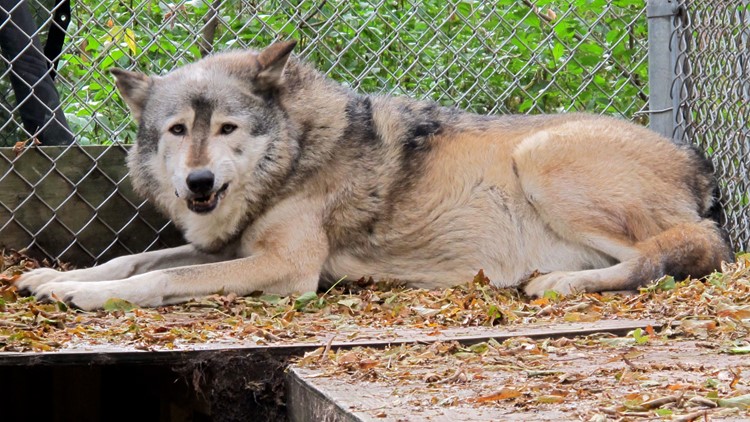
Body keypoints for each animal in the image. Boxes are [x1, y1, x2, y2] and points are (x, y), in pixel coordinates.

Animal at [16, 40, 733, 310]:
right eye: (176, 131)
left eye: (226, 129)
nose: (197, 184)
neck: (295, 155)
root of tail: (696, 160)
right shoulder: (229, 246)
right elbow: (132, 260)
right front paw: (53, 279)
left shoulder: (287, 269)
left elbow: (163, 276)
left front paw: (80, 295)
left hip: (542, 156)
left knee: (688, 249)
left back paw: (558, 282)